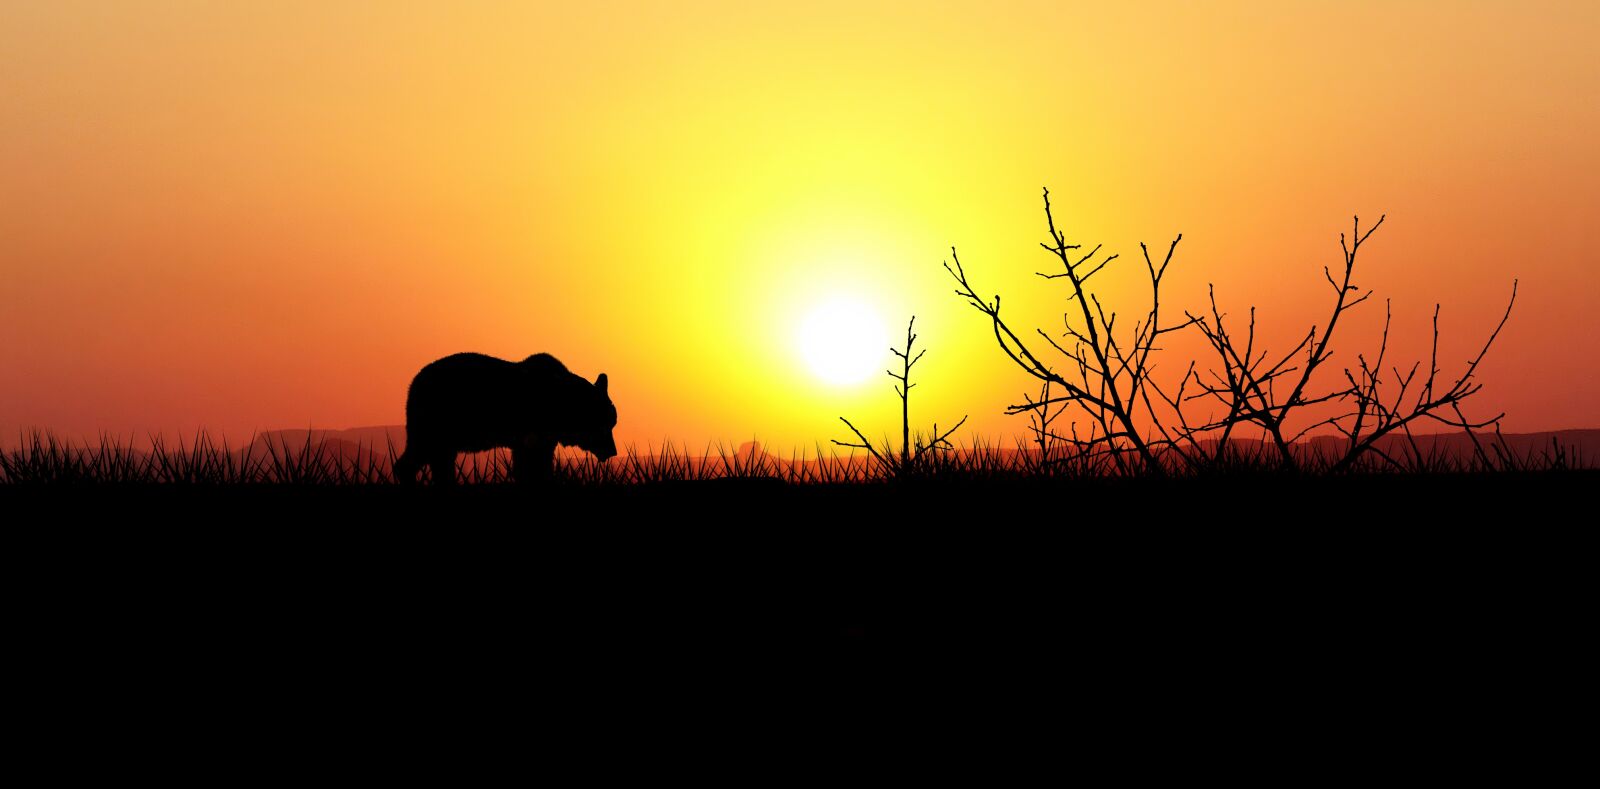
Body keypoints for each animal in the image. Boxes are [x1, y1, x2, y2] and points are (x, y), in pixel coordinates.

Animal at [393, 352, 617, 485]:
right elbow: (529, 464)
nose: (612, 451)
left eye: (612, 423)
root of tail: (414, 382)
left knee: (440, 459)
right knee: (422, 452)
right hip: (434, 420)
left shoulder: (543, 438)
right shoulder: (530, 431)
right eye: (605, 424)